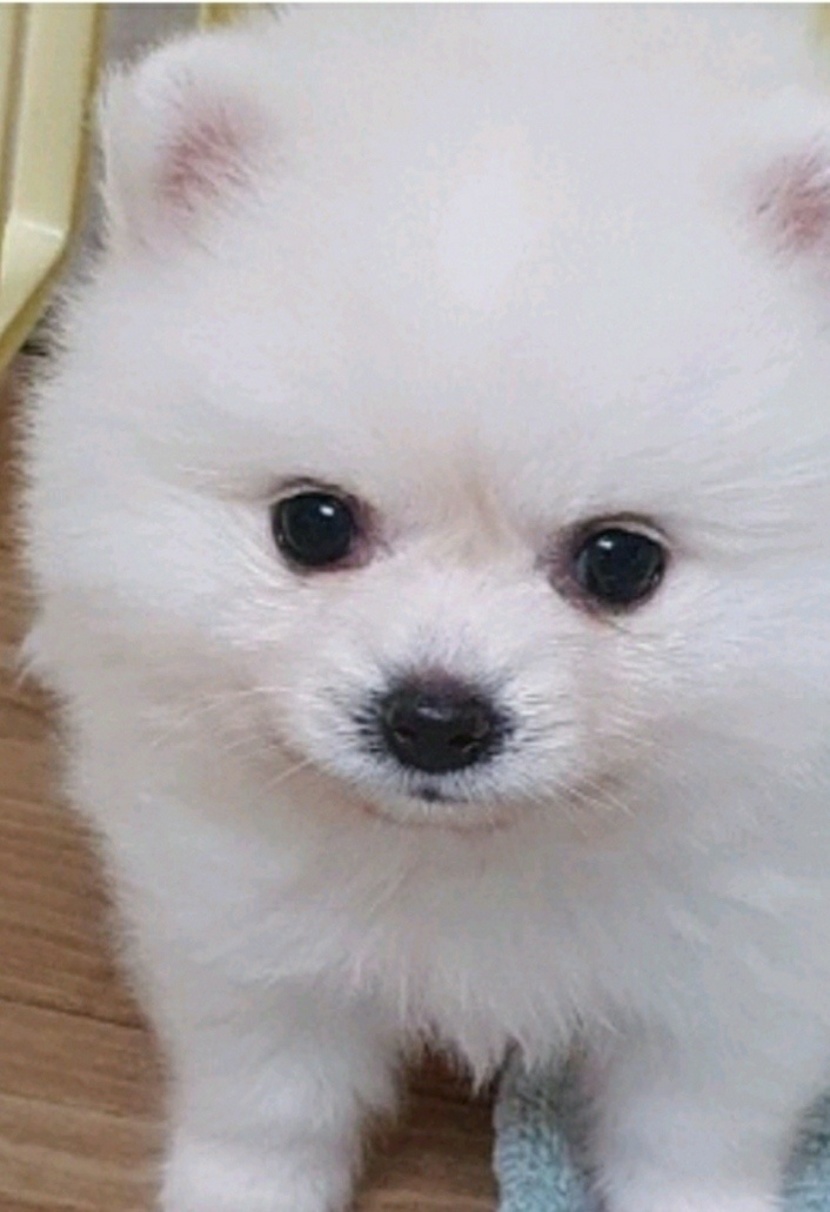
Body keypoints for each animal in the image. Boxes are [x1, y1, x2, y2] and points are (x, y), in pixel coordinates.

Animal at [22, 6, 830, 1210]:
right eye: (312, 525)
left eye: (620, 561)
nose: (435, 719)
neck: (476, 852)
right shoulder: (247, 936)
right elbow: (267, 1111)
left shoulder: (743, 974)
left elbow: (693, 1142)